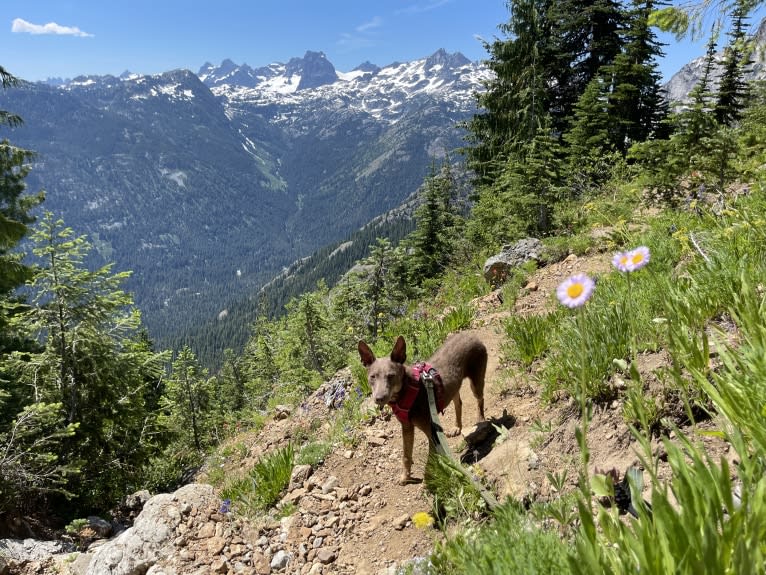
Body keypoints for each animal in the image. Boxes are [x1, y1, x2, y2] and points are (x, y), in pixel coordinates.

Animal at [358, 332, 488, 486]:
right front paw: (405, 477)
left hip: (476, 382)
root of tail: (471, 335)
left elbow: (430, 462)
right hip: (454, 386)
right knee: (458, 402)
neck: (406, 390)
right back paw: (457, 427)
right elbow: (406, 456)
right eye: (372, 377)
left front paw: (426, 484)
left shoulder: (431, 432)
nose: (379, 398)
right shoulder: (406, 428)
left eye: (391, 376)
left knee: (480, 399)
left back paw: (480, 419)